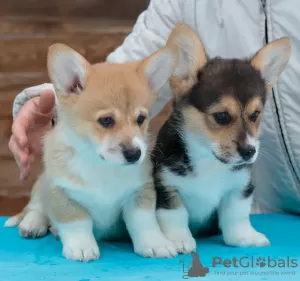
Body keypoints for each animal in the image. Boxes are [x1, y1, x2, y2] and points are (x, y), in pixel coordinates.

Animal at [5, 43, 178, 260]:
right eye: (106, 121)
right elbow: (76, 223)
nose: (134, 155)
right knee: (35, 206)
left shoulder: (139, 192)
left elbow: (144, 222)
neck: (100, 164)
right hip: (42, 183)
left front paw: (155, 243)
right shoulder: (61, 192)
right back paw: (33, 223)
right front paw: (81, 247)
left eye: (141, 119)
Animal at [152, 25, 290, 250]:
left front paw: (244, 237)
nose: (249, 151)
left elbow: (236, 215)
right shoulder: (167, 186)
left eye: (255, 115)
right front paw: (179, 240)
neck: (209, 161)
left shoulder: (240, 187)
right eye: (221, 116)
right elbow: (175, 215)